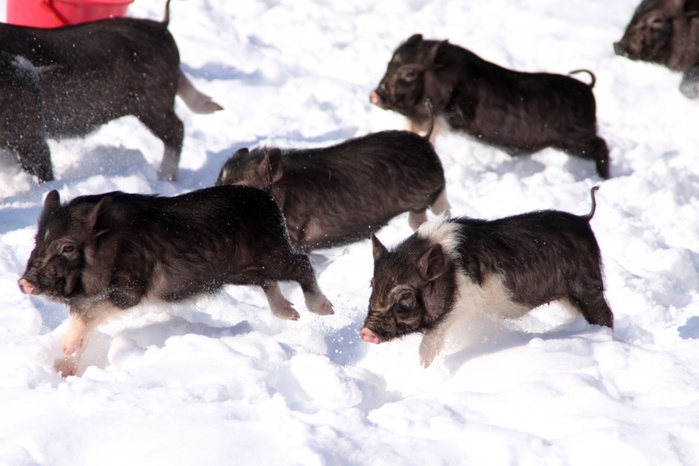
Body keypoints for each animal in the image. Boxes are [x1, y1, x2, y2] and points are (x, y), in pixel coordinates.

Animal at [17, 186, 334, 374]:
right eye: (38, 242)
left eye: (68, 247)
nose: (24, 282)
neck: (110, 246)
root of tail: (267, 198)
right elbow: (83, 317)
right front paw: (61, 369)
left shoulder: (130, 289)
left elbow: (90, 312)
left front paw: (65, 352)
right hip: (242, 271)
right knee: (269, 283)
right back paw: (291, 314)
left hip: (272, 255)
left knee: (302, 264)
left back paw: (324, 309)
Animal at [360, 187, 612, 368]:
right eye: (372, 285)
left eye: (405, 295)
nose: (364, 332)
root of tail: (583, 219)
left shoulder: (465, 302)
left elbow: (438, 327)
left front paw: (423, 365)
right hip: (569, 296)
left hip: (588, 284)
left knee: (605, 313)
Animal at [370, 34, 608, 178]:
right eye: (389, 65)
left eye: (409, 73)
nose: (374, 95)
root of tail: (589, 89)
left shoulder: (456, 112)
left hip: (577, 138)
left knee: (602, 146)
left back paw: (603, 178)